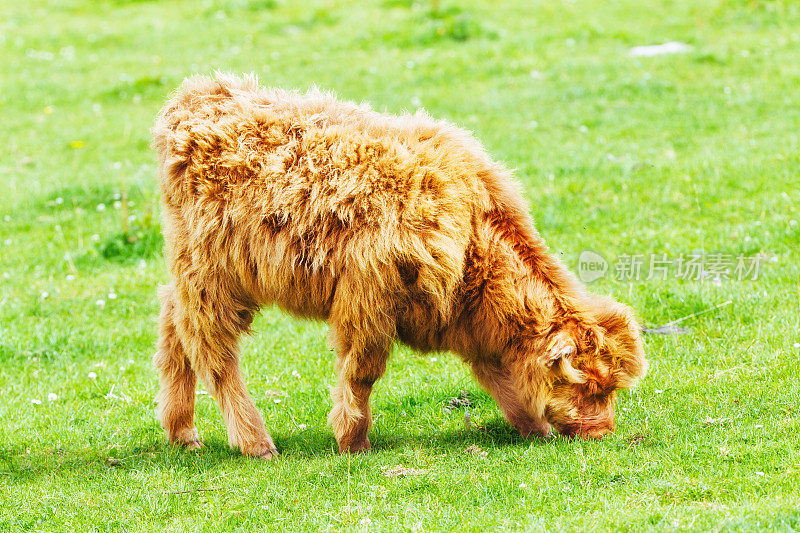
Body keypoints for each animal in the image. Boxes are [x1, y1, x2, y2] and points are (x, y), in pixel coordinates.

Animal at [152, 74, 648, 458]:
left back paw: (182, 432)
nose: (603, 432)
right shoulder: (367, 303)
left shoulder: (468, 325)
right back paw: (255, 442)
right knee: (214, 353)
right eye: (587, 387)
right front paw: (352, 441)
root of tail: (197, 96)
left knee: (173, 329)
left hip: (196, 273)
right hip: (212, 277)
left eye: (610, 388)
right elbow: (361, 373)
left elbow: (499, 376)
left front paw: (534, 427)